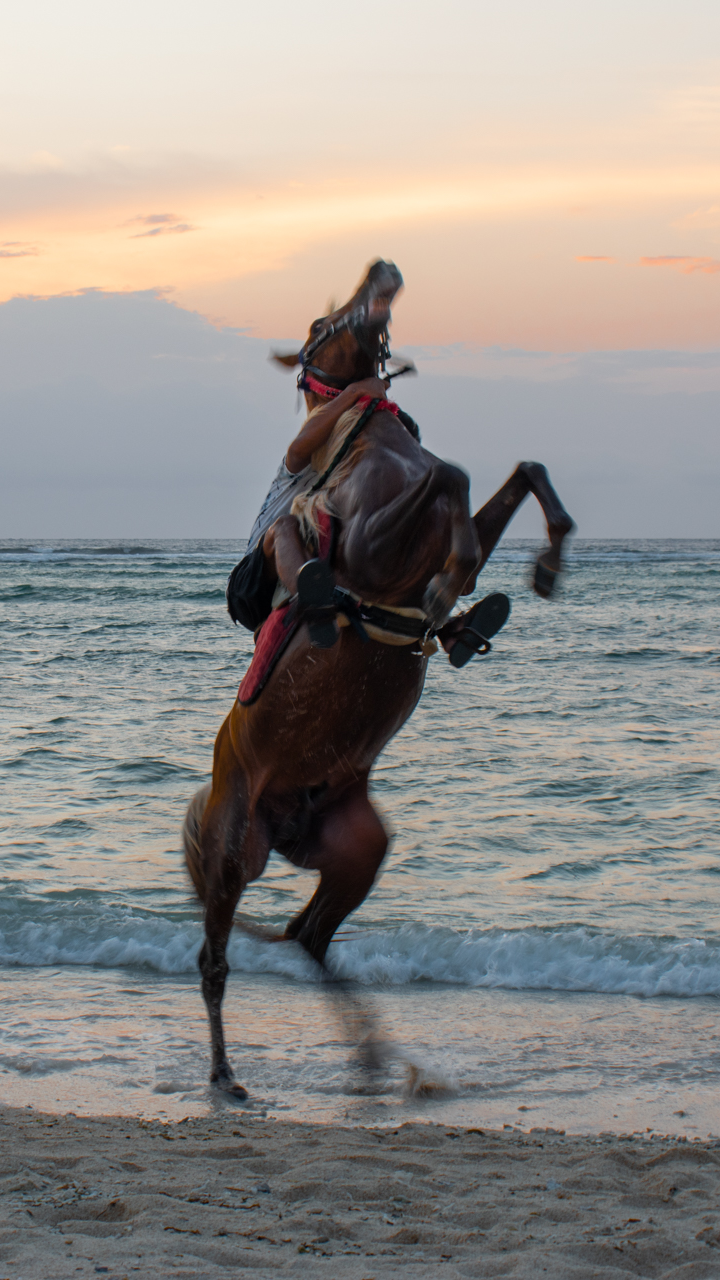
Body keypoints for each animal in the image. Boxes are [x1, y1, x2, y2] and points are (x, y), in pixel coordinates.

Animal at [183, 259, 574, 1100]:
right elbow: (454, 479)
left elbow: (517, 471)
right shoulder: (368, 543)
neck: (371, 436)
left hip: (356, 850)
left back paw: (378, 1063)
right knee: (215, 962)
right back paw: (227, 1076)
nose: (383, 268)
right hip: (232, 856)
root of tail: (283, 820)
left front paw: (542, 568)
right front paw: (451, 583)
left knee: (308, 937)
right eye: (323, 320)